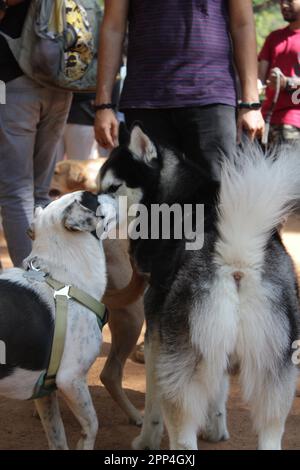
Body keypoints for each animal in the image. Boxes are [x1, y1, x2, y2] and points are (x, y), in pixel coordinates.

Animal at [0, 191, 115, 452]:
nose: (113, 192)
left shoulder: (45, 392)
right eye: (94, 197)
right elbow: (92, 424)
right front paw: (85, 442)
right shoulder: (71, 380)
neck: (62, 278)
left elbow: (58, 437)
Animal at [99, 126, 300, 452]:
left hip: (181, 371)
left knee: (182, 436)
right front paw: (216, 429)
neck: (176, 195)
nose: (91, 210)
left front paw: (146, 440)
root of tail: (235, 256)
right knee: (271, 430)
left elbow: (153, 405)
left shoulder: (156, 336)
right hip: (274, 375)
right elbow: (218, 389)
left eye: (114, 187)